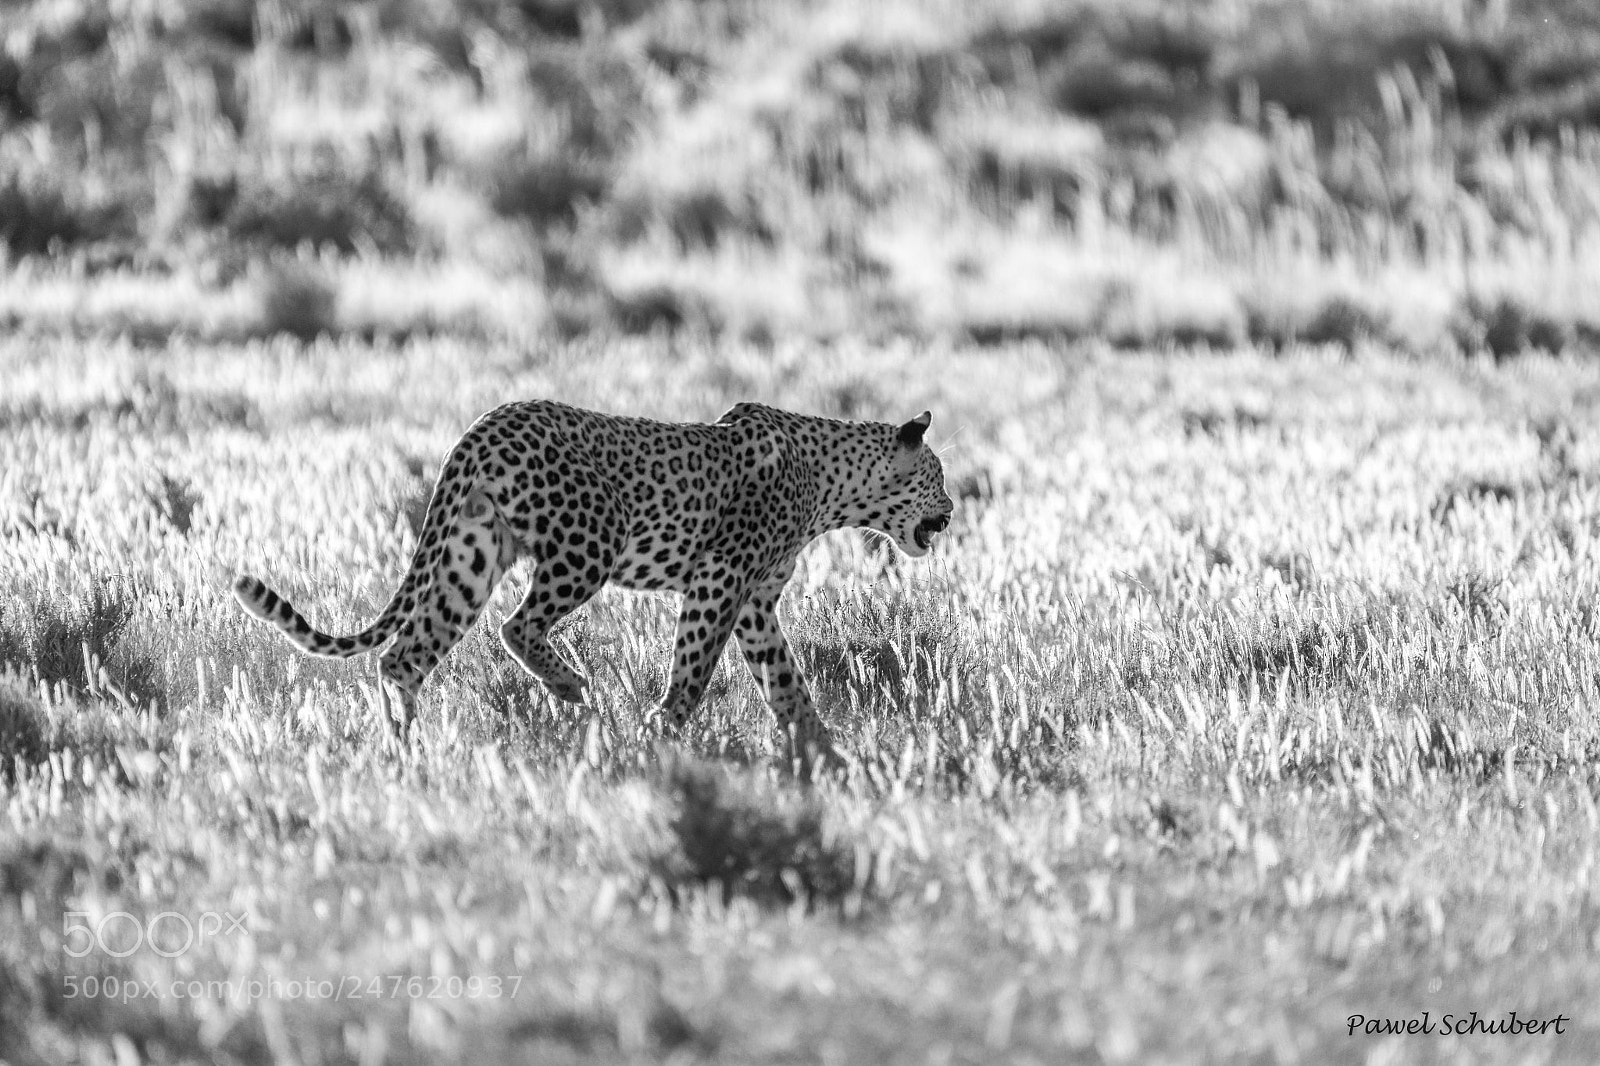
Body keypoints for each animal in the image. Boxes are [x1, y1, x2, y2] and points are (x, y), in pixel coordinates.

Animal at [232, 399, 954, 754]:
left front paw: (822, 749)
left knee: (405, 655)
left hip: (472, 553)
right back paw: (572, 687)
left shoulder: (754, 603)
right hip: (589, 544)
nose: (952, 511)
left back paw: (404, 755)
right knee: (517, 626)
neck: (831, 484)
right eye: (938, 476)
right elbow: (694, 671)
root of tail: (483, 426)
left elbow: (786, 680)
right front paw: (659, 733)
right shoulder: (719, 581)